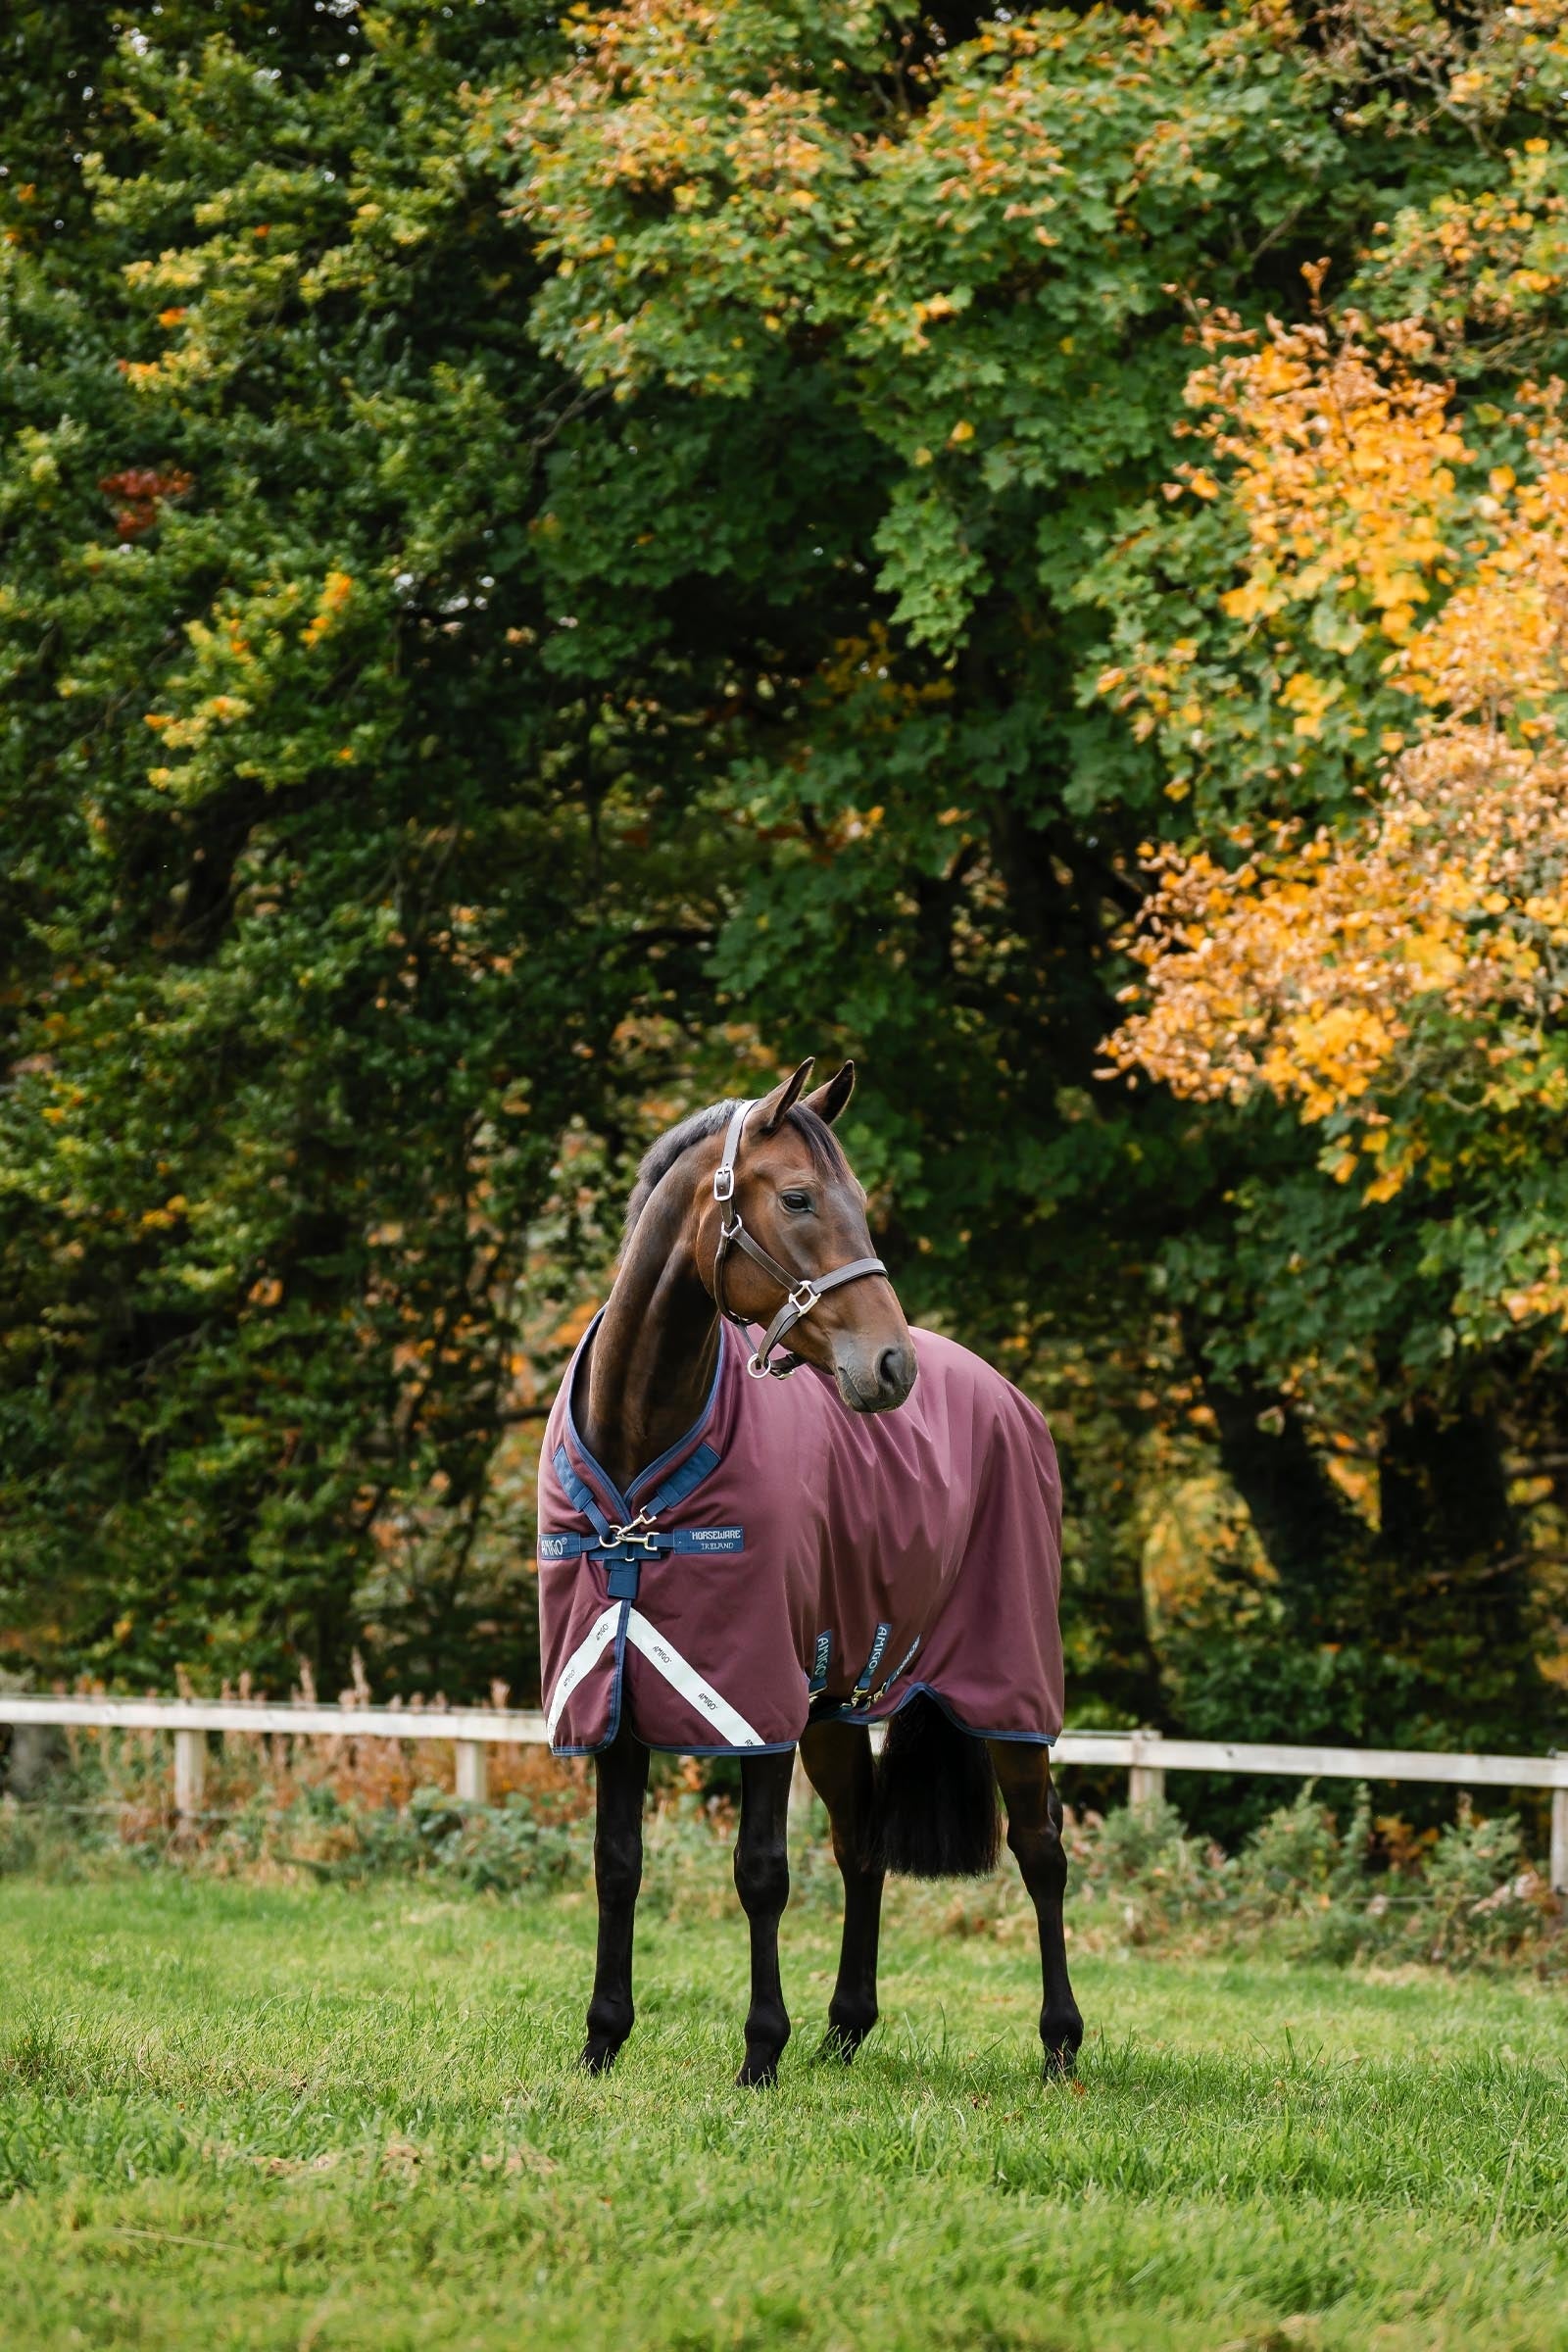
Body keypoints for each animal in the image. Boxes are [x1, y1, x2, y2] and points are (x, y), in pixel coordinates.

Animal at [536, 1056, 1083, 2088]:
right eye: (796, 1197)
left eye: (859, 1200)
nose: (891, 1365)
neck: (640, 1462)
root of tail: (1006, 1397)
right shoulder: (614, 1687)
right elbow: (617, 1861)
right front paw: (601, 2040)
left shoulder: (753, 1701)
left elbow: (760, 1872)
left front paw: (759, 2052)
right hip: (837, 1704)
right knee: (861, 1845)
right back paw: (846, 2028)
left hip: (1010, 1689)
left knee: (1041, 1849)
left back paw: (1061, 2046)